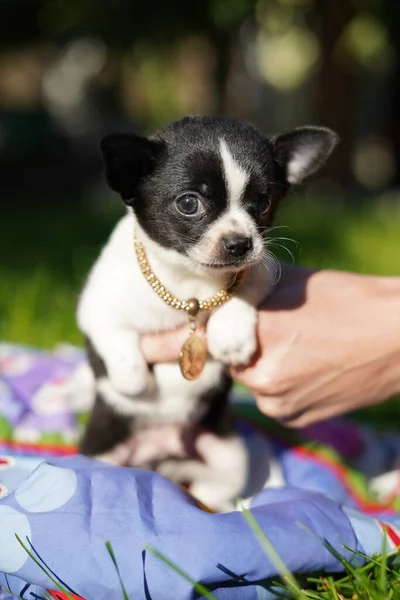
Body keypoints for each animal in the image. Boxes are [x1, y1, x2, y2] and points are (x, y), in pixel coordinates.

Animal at [76, 117, 338, 510]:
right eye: (189, 203)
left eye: (263, 203)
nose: (239, 242)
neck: (188, 282)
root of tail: (161, 459)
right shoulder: (95, 306)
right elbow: (116, 337)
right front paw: (132, 379)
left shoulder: (261, 269)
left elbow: (241, 288)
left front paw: (230, 337)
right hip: (101, 452)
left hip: (228, 456)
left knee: (212, 492)